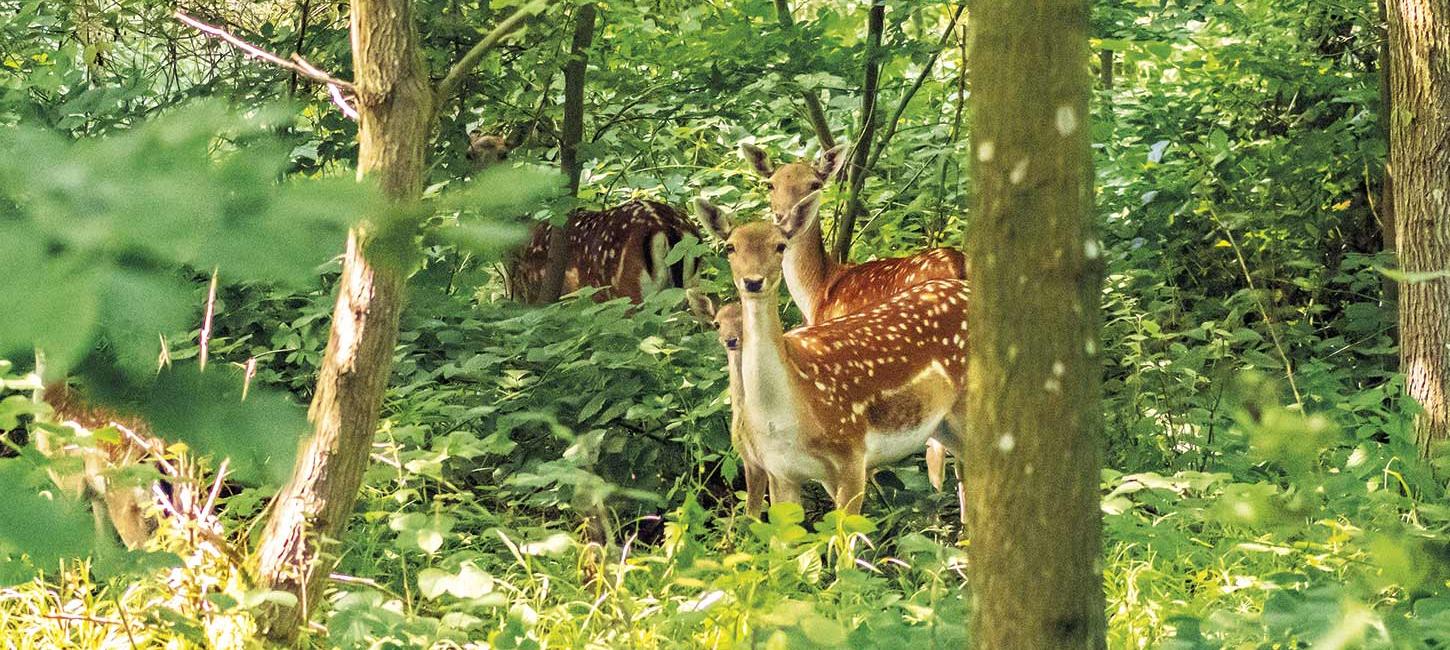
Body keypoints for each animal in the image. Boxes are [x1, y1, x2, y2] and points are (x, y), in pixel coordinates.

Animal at [693, 188, 968, 516]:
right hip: (943, 426)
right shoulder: (779, 471)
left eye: (780, 245)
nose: (753, 281)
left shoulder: (852, 455)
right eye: (730, 247)